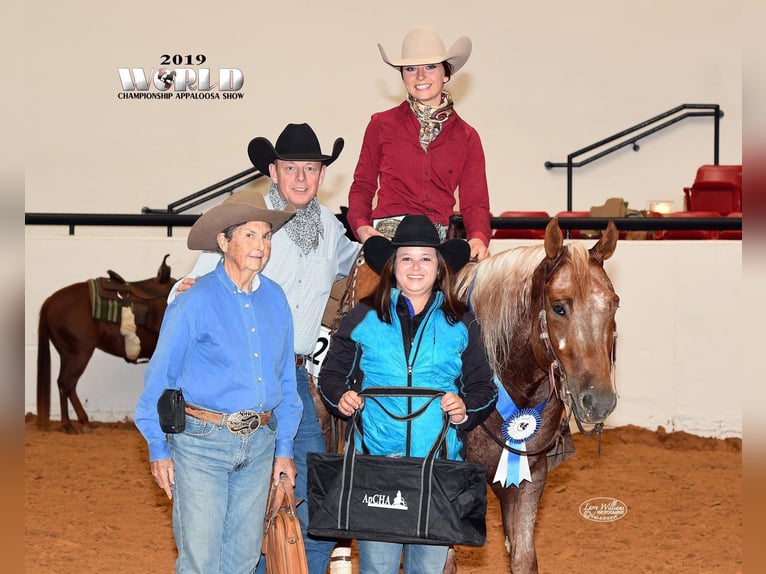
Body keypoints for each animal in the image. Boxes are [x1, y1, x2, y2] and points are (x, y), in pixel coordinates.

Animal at [38, 254, 176, 434]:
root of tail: (50, 301)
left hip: (66, 354)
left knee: (62, 383)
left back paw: (68, 424)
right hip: (79, 353)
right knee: (68, 383)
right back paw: (84, 422)